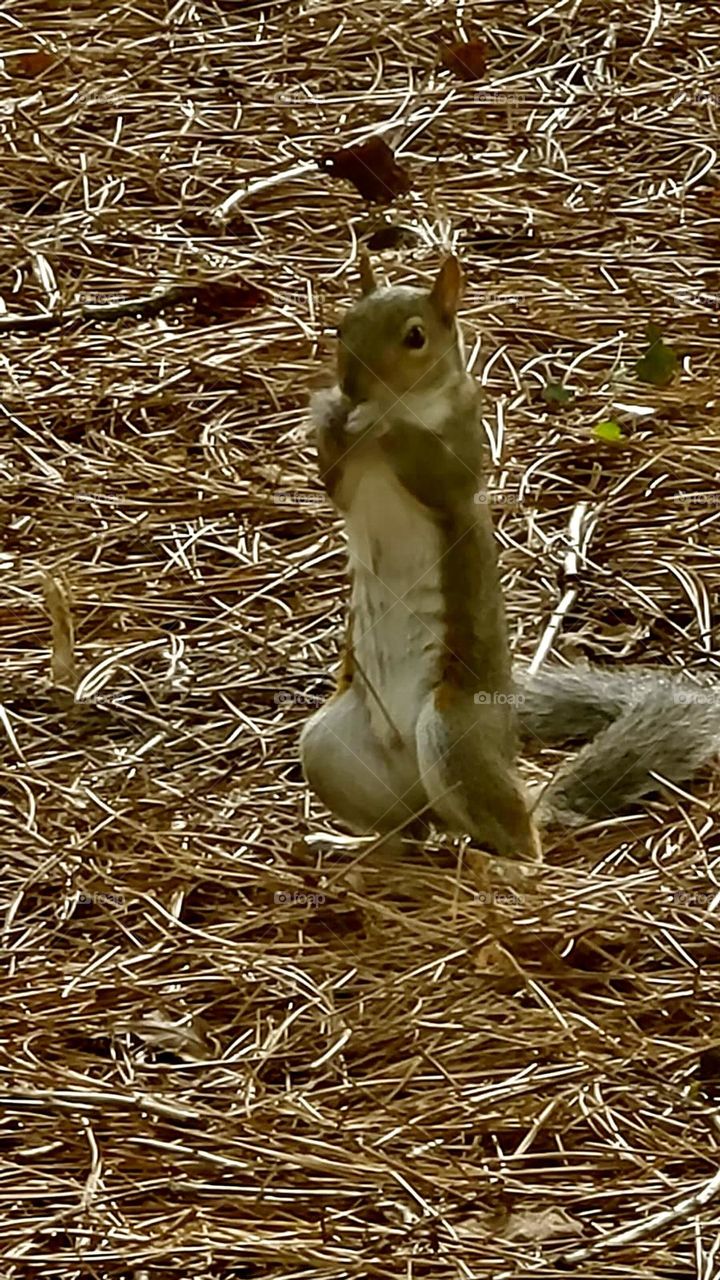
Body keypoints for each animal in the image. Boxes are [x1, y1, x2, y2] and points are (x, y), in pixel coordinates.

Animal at [299, 253, 720, 859]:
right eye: (341, 327)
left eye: (415, 337)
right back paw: (357, 848)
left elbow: (433, 467)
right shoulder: (346, 479)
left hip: (453, 734)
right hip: (331, 749)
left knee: (519, 837)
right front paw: (331, 413)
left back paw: (504, 862)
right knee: (412, 828)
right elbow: (332, 476)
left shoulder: (459, 452)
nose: (353, 385)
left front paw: (380, 421)